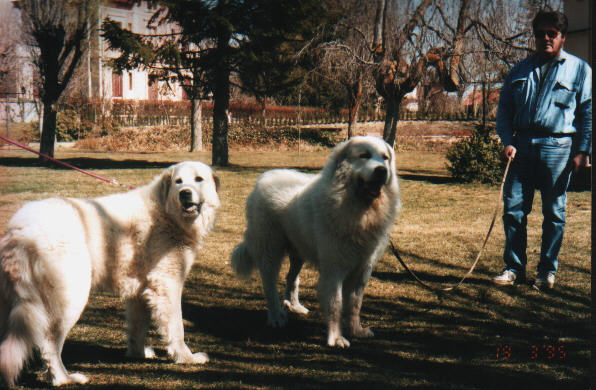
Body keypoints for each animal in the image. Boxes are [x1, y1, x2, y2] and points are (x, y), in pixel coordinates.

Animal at [0, 161, 221, 386]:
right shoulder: (167, 285)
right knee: (49, 344)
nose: (185, 193)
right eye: (179, 181)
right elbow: (176, 327)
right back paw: (65, 378)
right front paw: (186, 357)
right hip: (70, 299)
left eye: (198, 179)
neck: (165, 210)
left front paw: (138, 354)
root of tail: (20, 229)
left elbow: (137, 327)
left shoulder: (141, 291)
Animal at [233, 136, 400, 348]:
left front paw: (356, 330)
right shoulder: (334, 268)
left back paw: (295, 306)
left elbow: (355, 303)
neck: (358, 208)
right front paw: (336, 338)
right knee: (269, 285)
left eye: (385, 158)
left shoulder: (363, 268)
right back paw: (276, 317)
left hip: (298, 252)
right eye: (364, 155)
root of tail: (263, 178)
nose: (382, 171)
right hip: (270, 250)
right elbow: (336, 303)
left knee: (291, 278)